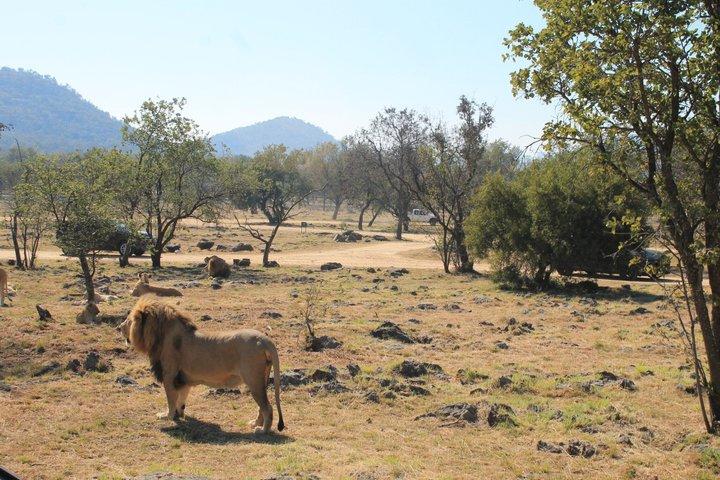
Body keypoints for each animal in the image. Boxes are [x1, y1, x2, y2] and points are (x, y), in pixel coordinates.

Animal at [118, 297, 285, 434]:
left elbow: (171, 399)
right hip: (262, 379)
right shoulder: (183, 379)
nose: (118, 327)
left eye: (129, 320)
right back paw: (255, 424)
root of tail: (264, 340)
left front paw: (167, 416)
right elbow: (181, 399)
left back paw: (262, 430)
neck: (160, 337)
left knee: (267, 407)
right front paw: (179, 414)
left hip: (253, 380)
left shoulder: (169, 375)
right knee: (262, 407)